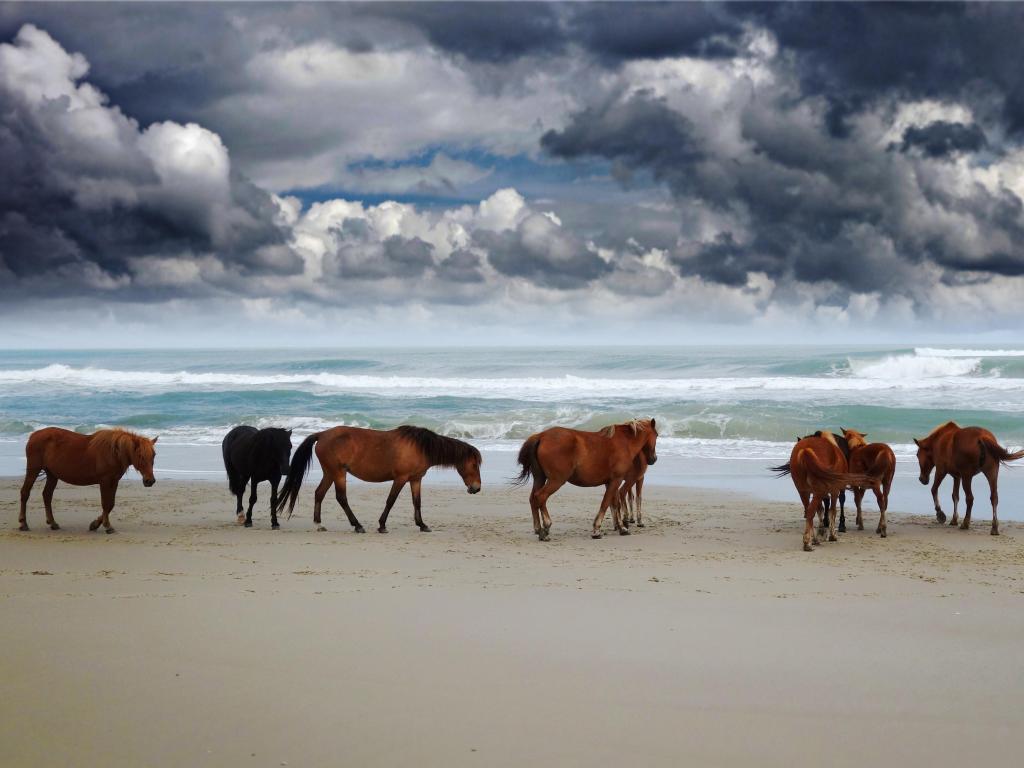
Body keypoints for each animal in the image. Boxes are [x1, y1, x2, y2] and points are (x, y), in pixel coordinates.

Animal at [18, 428, 157, 536]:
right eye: (140, 456)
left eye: (154, 455)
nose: (150, 481)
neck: (113, 452)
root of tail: (33, 436)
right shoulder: (105, 481)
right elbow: (105, 504)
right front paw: (107, 526)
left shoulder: (114, 481)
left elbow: (110, 504)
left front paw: (95, 524)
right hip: (33, 470)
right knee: (25, 493)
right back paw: (23, 523)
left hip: (52, 475)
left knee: (47, 495)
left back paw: (53, 523)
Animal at [272, 423, 479, 532]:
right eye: (475, 464)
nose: (476, 488)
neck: (420, 447)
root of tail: (322, 434)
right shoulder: (400, 478)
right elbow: (391, 500)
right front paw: (382, 525)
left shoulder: (415, 480)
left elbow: (417, 502)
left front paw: (422, 524)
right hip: (338, 473)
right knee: (341, 498)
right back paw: (357, 525)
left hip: (330, 473)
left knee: (319, 494)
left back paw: (319, 524)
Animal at [509, 421, 655, 540]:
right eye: (657, 435)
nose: (653, 459)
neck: (623, 442)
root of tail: (541, 436)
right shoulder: (616, 481)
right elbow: (606, 503)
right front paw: (596, 530)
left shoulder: (611, 482)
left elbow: (614, 504)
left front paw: (622, 528)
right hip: (556, 480)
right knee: (541, 497)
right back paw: (546, 528)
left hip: (540, 478)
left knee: (533, 498)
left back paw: (538, 529)